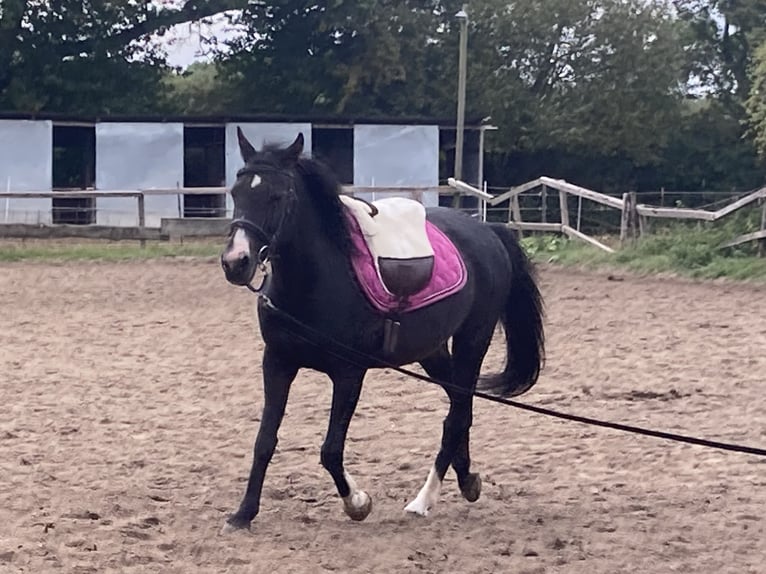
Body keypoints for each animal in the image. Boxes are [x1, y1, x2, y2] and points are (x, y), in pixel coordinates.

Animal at [220, 128, 544, 532]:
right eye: (236, 193)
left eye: (277, 196)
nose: (236, 262)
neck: (317, 279)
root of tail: (487, 230)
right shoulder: (277, 362)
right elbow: (264, 441)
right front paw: (243, 514)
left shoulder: (348, 373)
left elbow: (330, 450)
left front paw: (357, 503)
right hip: (432, 350)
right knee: (461, 408)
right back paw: (467, 479)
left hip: (474, 339)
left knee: (457, 416)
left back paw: (424, 500)